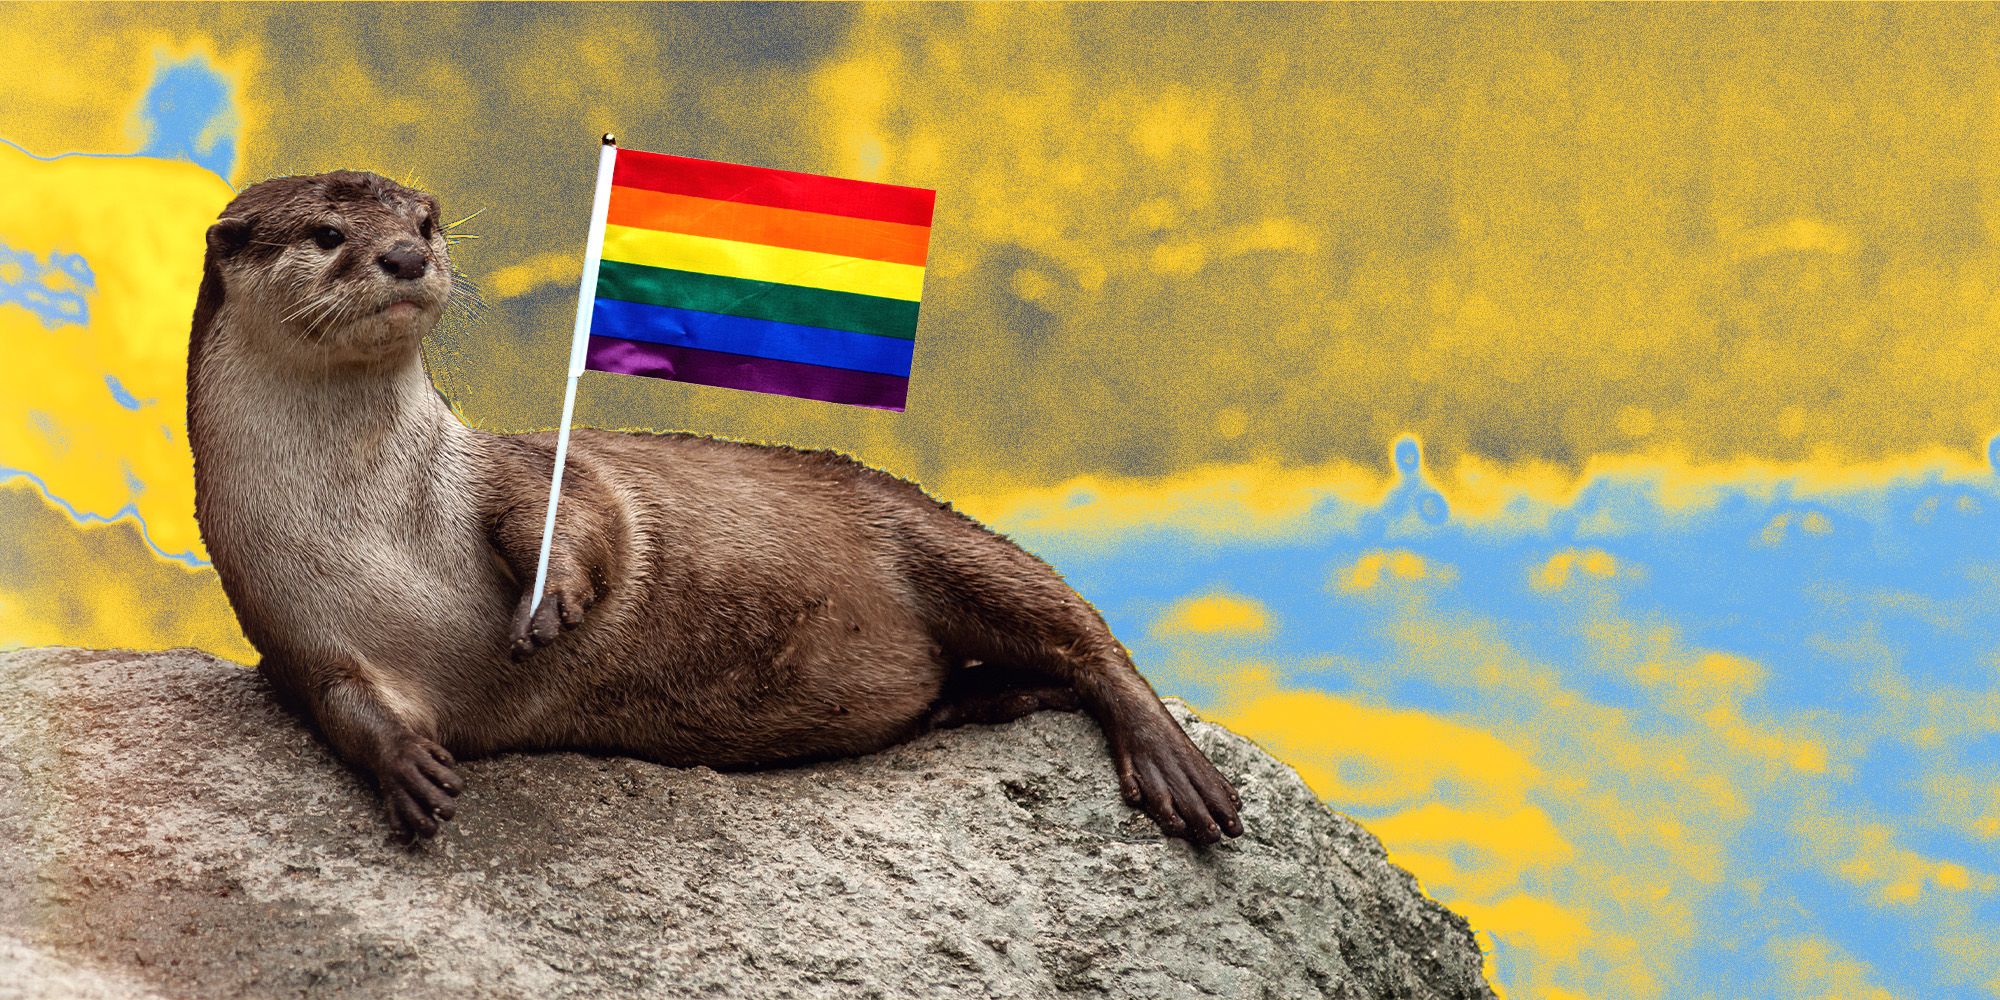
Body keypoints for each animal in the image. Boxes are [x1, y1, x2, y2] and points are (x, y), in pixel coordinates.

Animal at [186, 170, 1242, 846]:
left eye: (430, 218)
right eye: (328, 236)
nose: (406, 255)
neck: (374, 521)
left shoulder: (513, 469)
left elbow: (586, 512)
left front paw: (549, 599)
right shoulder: (285, 616)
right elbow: (341, 703)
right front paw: (410, 770)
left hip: (924, 527)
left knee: (1077, 624)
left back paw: (1172, 765)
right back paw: (995, 699)